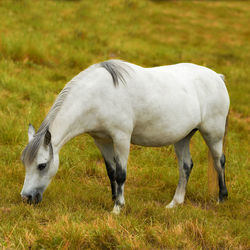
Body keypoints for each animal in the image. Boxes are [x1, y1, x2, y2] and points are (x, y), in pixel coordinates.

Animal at [20, 59, 229, 214]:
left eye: (42, 165)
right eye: (25, 163)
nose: (26, 197)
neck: (98, 95)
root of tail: (217, 77)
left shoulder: (121, 138)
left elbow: (121, 174)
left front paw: (118, 208)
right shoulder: (102, 140)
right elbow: (111, 171)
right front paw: (114, 199)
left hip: (213, 133)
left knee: (219, 161)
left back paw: (221, 198)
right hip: (182, 137)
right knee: (185, 166)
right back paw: (175, 203)